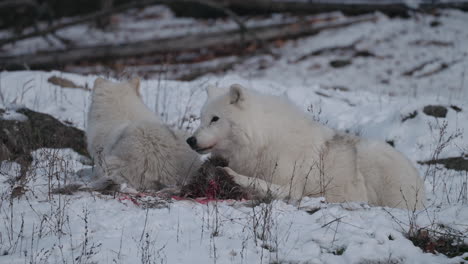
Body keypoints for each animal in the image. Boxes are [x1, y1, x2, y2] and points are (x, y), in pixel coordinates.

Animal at [186, 84, 424, 208]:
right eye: (201, 118)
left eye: (215, 119)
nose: (190, 140)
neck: (263, 140)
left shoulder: (292, 183)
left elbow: (266, 184)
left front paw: (230, 175)